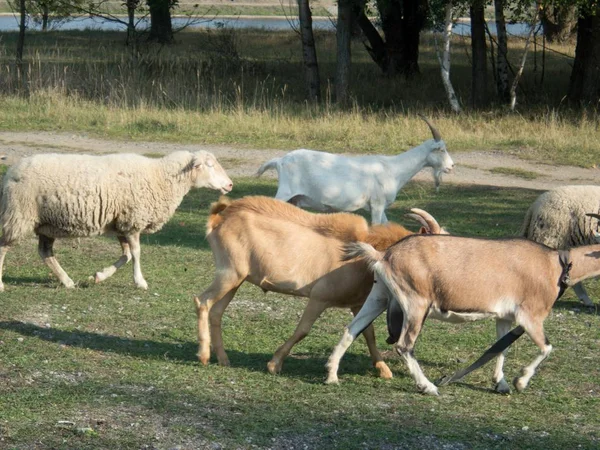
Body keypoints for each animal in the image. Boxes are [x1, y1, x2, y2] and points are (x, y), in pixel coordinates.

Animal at [0, 151, 233, 292]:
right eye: (209, 165)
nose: (230, 185)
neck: (161, 176)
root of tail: (10, 173)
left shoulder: (122, 224)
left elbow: (127, 255)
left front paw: (99, 276)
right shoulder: (133, 221)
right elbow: (136, 253)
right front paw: (140, 281)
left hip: (46, 225)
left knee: (45, 252)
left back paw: (67, 281)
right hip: (19, 215)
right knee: (4, 247)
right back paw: (2, 285)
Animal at [254, 114, 454, 223]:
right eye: (441, 149)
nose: (451, 166)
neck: (393, 169)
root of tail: (280, 160)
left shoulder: (380, 207)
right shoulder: (377, 204)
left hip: (294, 200)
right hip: (285, 192)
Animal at [328, 234, 600, 396]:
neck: (556, 265)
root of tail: (383, 255)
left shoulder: (504, 317)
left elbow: (501, 348)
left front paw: (501, 384)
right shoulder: (530, 316)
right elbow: (546, 348)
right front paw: (520, 382)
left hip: (380, 295)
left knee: (351, 329)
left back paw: (331, 375)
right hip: (416, 302)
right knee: (404, 345)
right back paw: (428, 386)